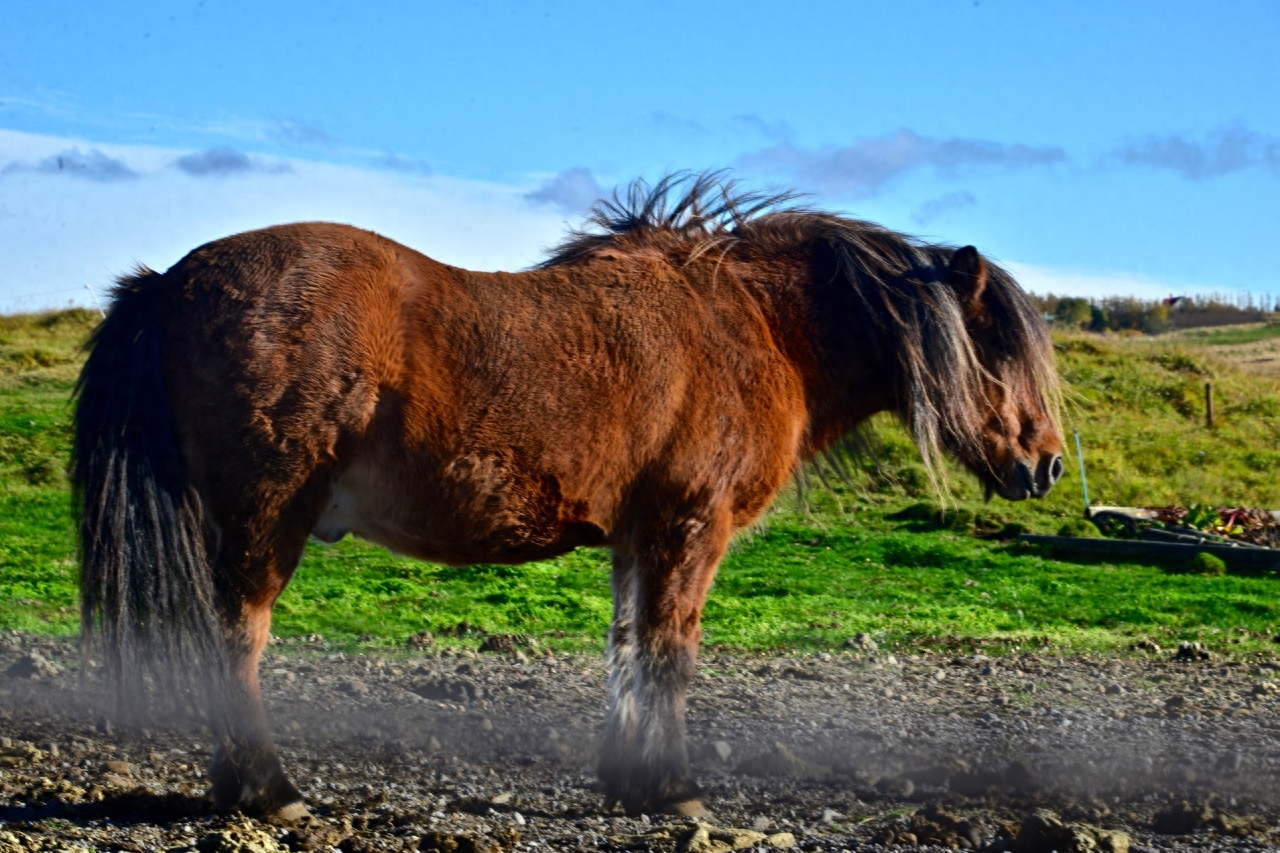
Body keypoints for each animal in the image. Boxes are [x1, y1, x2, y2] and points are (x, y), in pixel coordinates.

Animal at [74, 171, 1064, 819]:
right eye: (998, 347)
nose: (1047, 464)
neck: (753, 328)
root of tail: (170, 281)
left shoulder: (640, 536)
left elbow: (627, 650)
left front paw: (629, 782)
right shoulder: (690, 530)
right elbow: (670, 654)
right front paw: (677, 793)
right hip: (264, 519)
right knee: (237, 641)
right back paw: (271, 792)